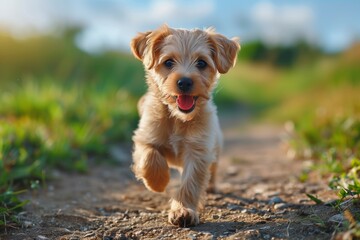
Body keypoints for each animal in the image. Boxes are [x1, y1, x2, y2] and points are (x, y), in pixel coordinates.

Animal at [129, 25, 239, 226]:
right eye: (168, 62)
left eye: (201, 63)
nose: (185, 81)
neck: (177, 118)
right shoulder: (144, 138)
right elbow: (150, 158)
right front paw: (158, 183)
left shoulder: (198, 152)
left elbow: (190, 183)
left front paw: (183, 211)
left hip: (215, 151)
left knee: (213, 170)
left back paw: (211, 186)